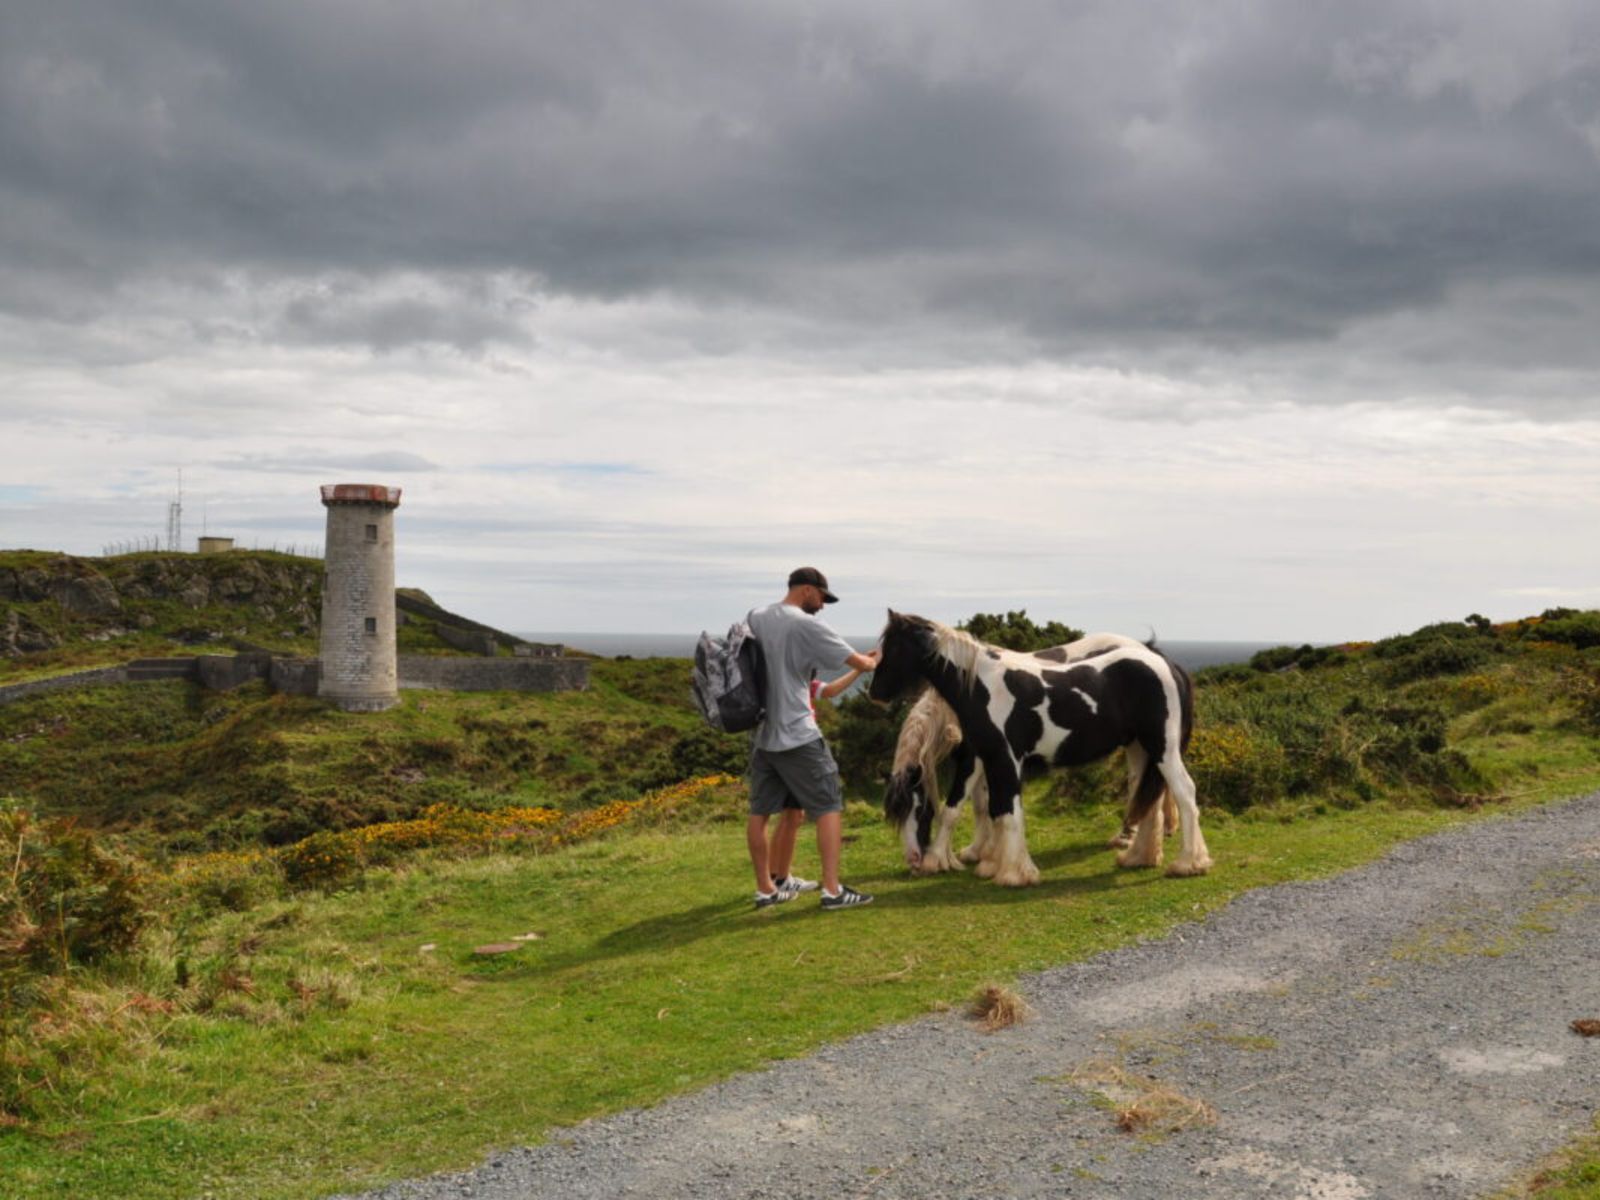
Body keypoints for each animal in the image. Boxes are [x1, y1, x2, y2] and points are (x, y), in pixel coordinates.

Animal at [870, 614, 1203, 889]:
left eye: (894, 648)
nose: (875, 692)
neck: (982, 687)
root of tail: (1165, 662)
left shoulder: (1000, 759)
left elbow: (997, 810)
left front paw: (1010, 872)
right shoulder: (985, 758)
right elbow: (984, 808)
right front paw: (982, 860)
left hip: (1163, 747)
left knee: (1184, 791)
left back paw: (1188, 863)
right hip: (1139, 748)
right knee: (1146, 795)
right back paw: (1139, 857)